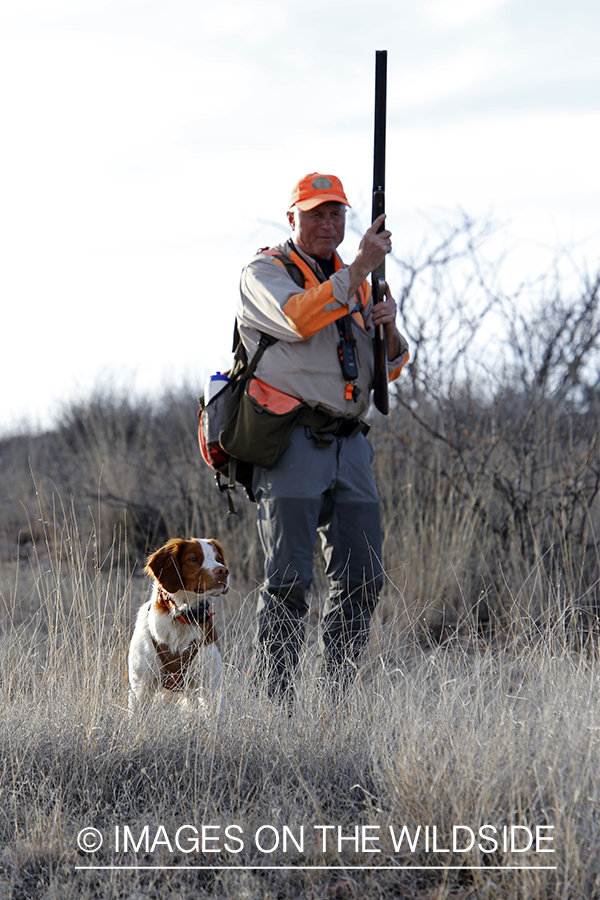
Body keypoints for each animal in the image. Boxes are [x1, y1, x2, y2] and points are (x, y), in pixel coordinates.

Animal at [127, 536, 229, 716]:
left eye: (219, 559)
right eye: (194, 559)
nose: (223, 571)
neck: (182, 617)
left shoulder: (210, 686)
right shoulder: (141, 687)